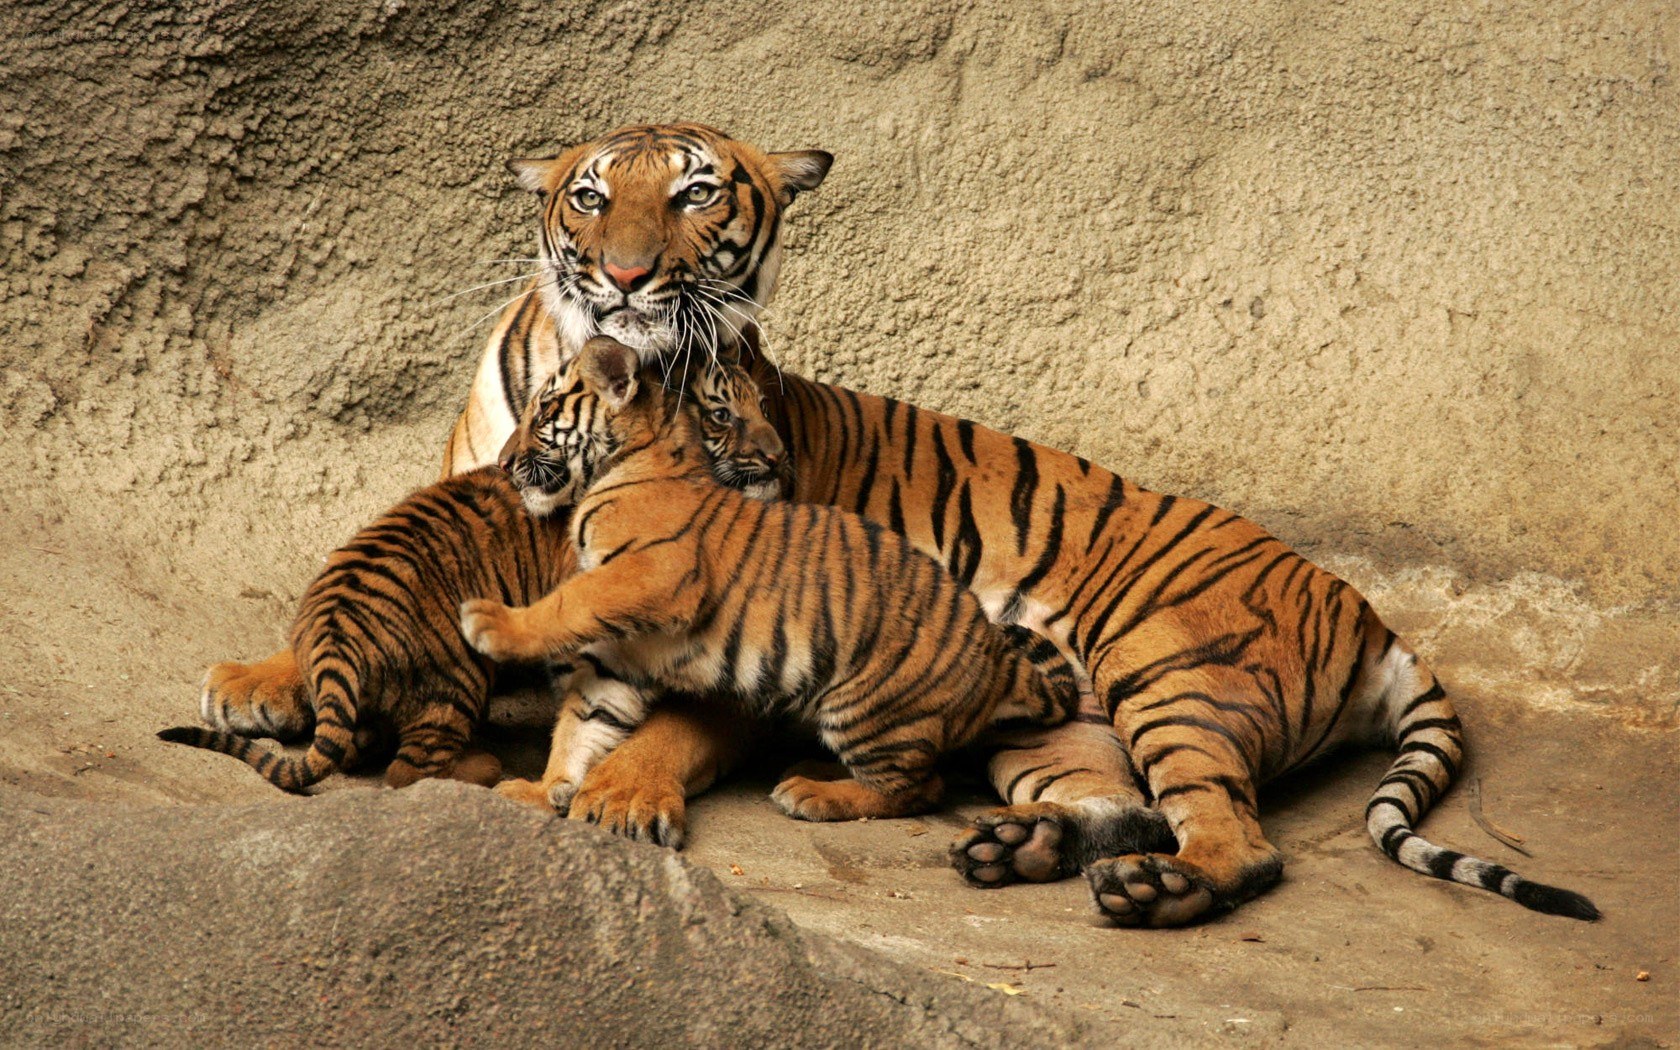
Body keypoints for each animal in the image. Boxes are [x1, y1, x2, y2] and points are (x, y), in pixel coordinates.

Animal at [459, 336, 1081, 822]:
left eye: (544, 412)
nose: (505, 463)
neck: (630, 460)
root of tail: (998, 661)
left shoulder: (651, 574)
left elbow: (569, 603)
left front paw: (489, 624)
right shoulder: (623, 650)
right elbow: (583, 721)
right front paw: (541, 790)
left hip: (866, 706)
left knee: (920, 788)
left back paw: (813, 793)